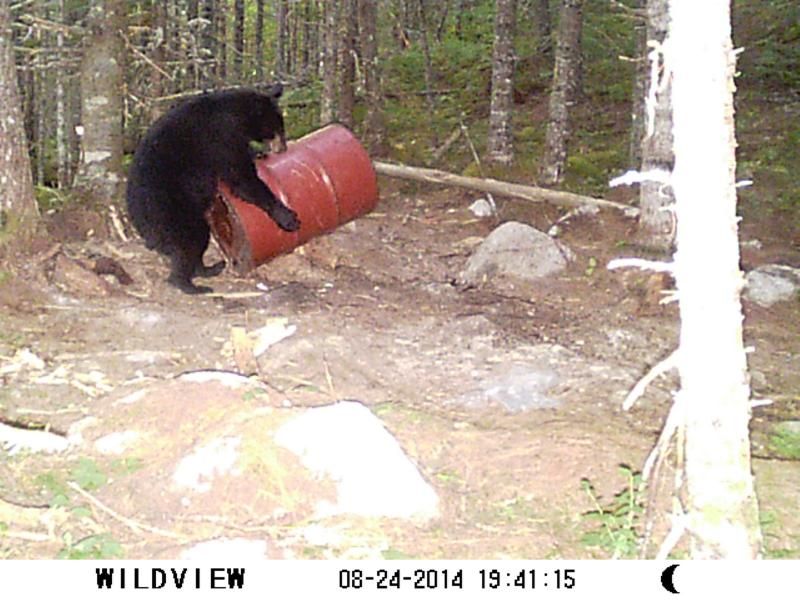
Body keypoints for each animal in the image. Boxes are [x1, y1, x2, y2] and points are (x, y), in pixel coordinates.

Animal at [125, 84, 300, 294]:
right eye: (277, 128)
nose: (283, 148)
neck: (236, 114)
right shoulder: (222, 138)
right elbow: (241, 179)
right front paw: (287, 216)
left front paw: (258, 153)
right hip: (172, 211)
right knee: (192, 241)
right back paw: (190, 284)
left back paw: (209, 268)